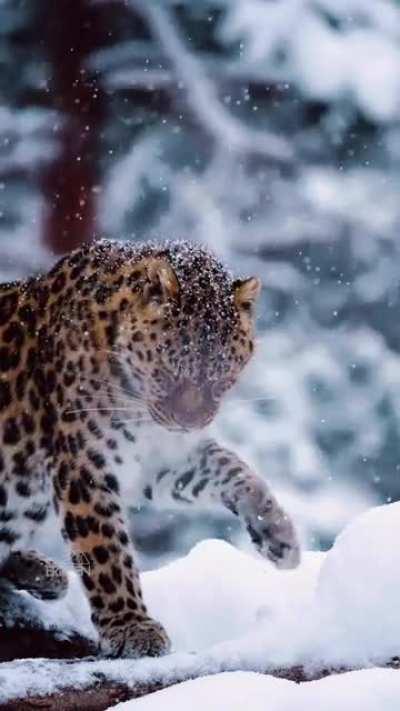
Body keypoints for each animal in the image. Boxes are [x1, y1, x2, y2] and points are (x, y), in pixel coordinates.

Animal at [0, 239, 300, 658]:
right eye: (168, 369)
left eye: (221, 376)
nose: (188, 423)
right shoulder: (85, 463)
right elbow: (106, 551)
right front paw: (132, 626)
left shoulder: (161, 457)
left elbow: (230, 467)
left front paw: (277, 532)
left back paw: (42, 571)